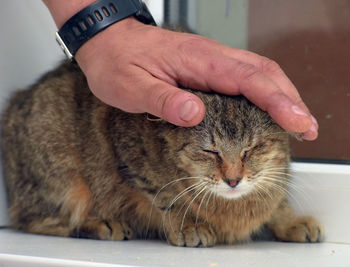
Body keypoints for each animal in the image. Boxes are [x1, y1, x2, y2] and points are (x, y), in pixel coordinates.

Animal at [0, 61, 322, 248]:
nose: (233, 180)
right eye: (209, 150)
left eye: (252, 148)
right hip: (64, 176)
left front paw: (291, 220)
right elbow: (165, 196)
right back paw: (100, 224)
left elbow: (277, 202)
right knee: (34, 220)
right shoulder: (124, 139)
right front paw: (189, 224)